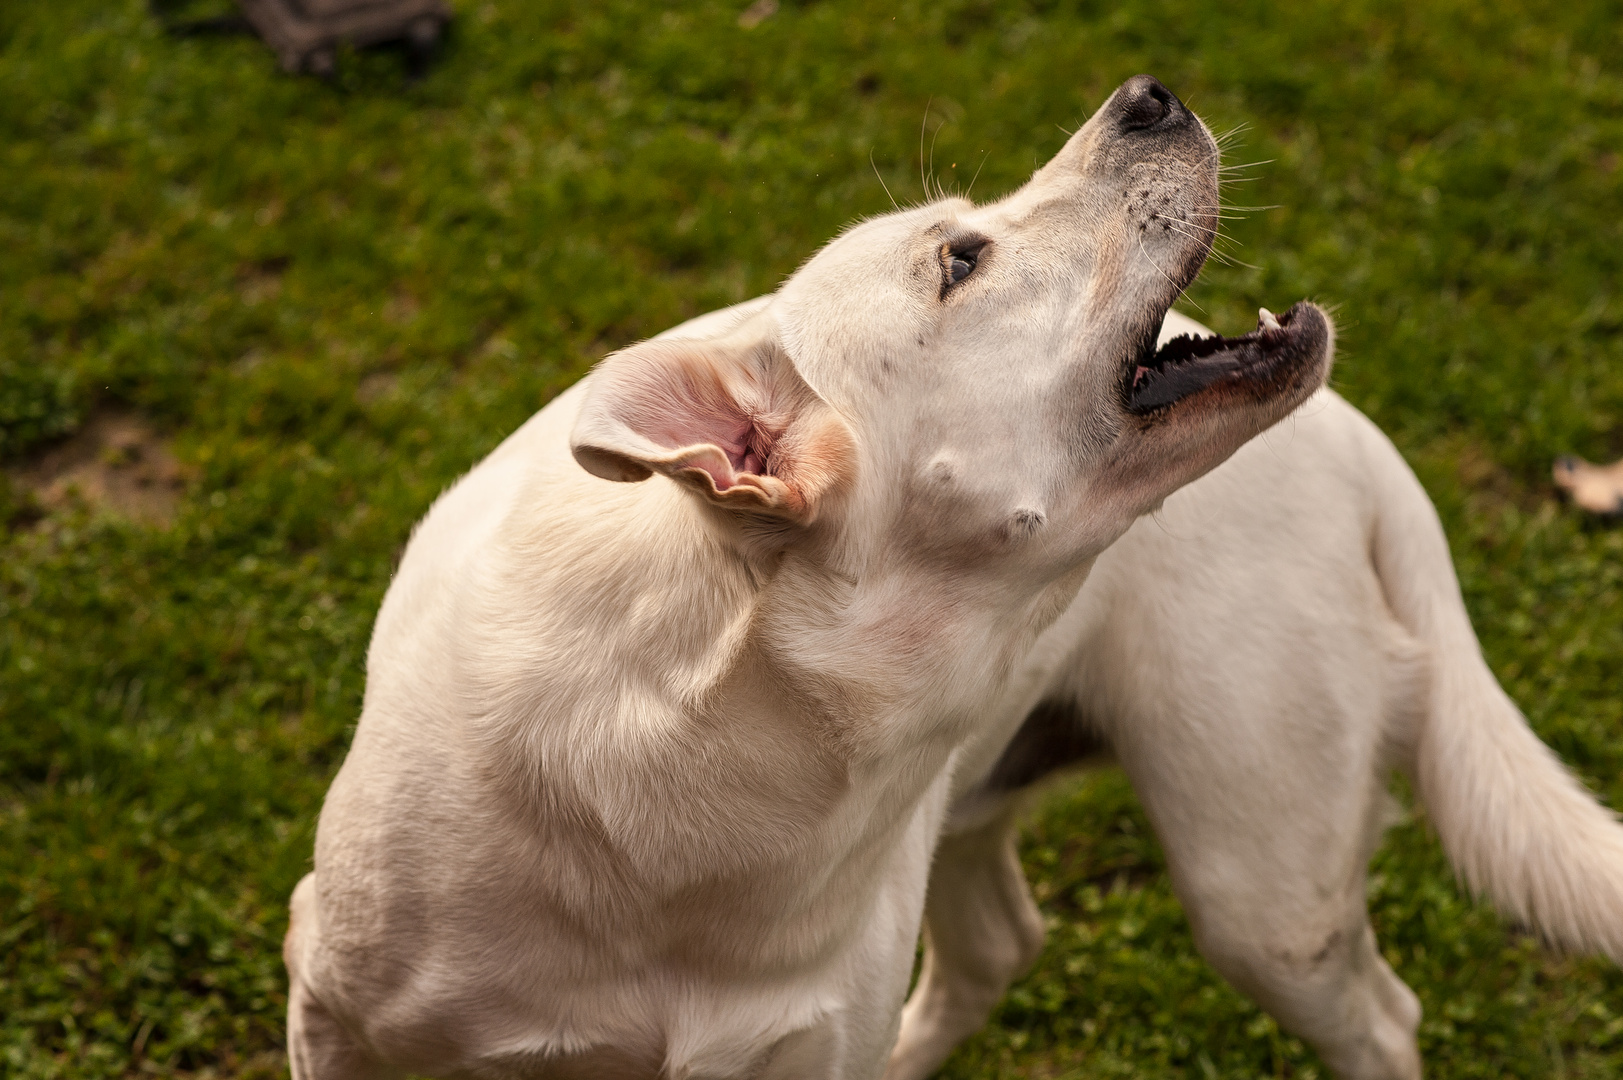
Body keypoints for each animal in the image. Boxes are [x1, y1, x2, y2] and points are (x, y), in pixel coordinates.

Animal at [285, 77, 1616, 1078]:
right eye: (963, 257)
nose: (1150, 92)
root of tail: (1358, 431)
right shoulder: (334, 1017)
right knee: (995, 950)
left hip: (1264, 891)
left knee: (1377, 1019)